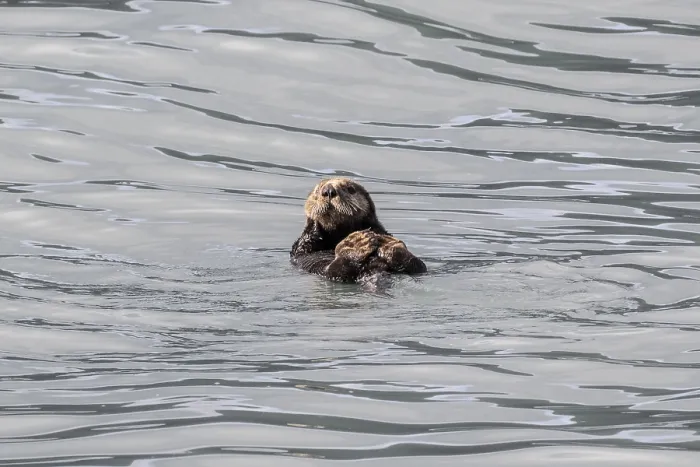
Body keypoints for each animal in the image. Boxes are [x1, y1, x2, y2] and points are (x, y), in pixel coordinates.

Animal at [290, 177, 426, 282]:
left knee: (417, 265)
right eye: (317, 190)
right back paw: (355, 245)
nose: (328, 190)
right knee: (337, 269)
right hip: (327, 271)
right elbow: (305, 242)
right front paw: (314, 221)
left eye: (350, 189)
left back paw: (390, 245)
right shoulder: (301, 246)